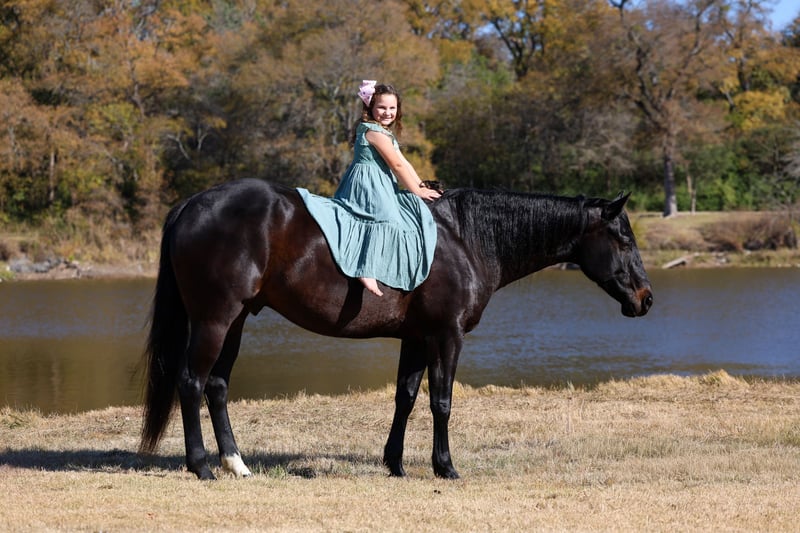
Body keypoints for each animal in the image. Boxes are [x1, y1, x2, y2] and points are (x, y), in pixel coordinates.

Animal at [139, 178, 653, 480]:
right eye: (624, 238)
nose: (646, 298)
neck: (463, 239)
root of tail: (192, 204)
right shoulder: (446, 336)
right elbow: (441, 401)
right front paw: (445, 467)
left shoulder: (416, 339)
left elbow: (405, 397)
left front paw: (396, 463)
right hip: (215, 319)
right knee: (192, 382)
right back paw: (201, 466)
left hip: (237, 320)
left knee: (217, 386)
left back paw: (235, 463)